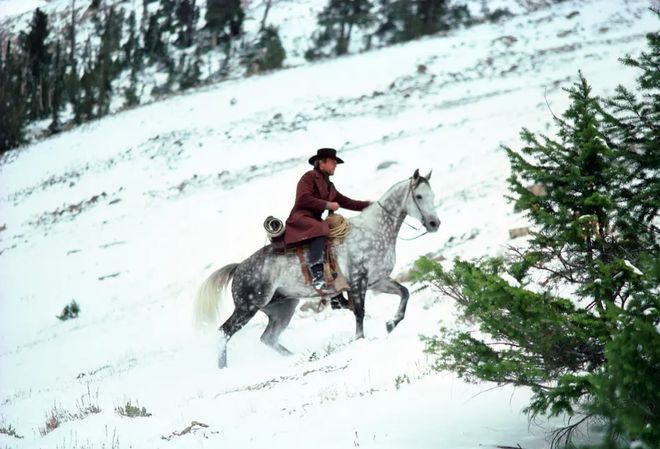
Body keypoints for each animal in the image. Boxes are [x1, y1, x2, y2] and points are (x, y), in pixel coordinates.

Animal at [193, 168, 438, 368]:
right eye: (419, 196)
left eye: (432, 195)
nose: (435, 224)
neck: (374, 230)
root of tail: (238, 268)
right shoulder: (359, 281)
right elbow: (360, 313)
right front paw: (360, 339)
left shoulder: (377, 281)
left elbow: (404, 293)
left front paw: (391, 324)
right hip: (247, 307)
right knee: (224, 333)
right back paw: (223, 369)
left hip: (282, 309)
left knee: (268, 338)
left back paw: (293, 357)